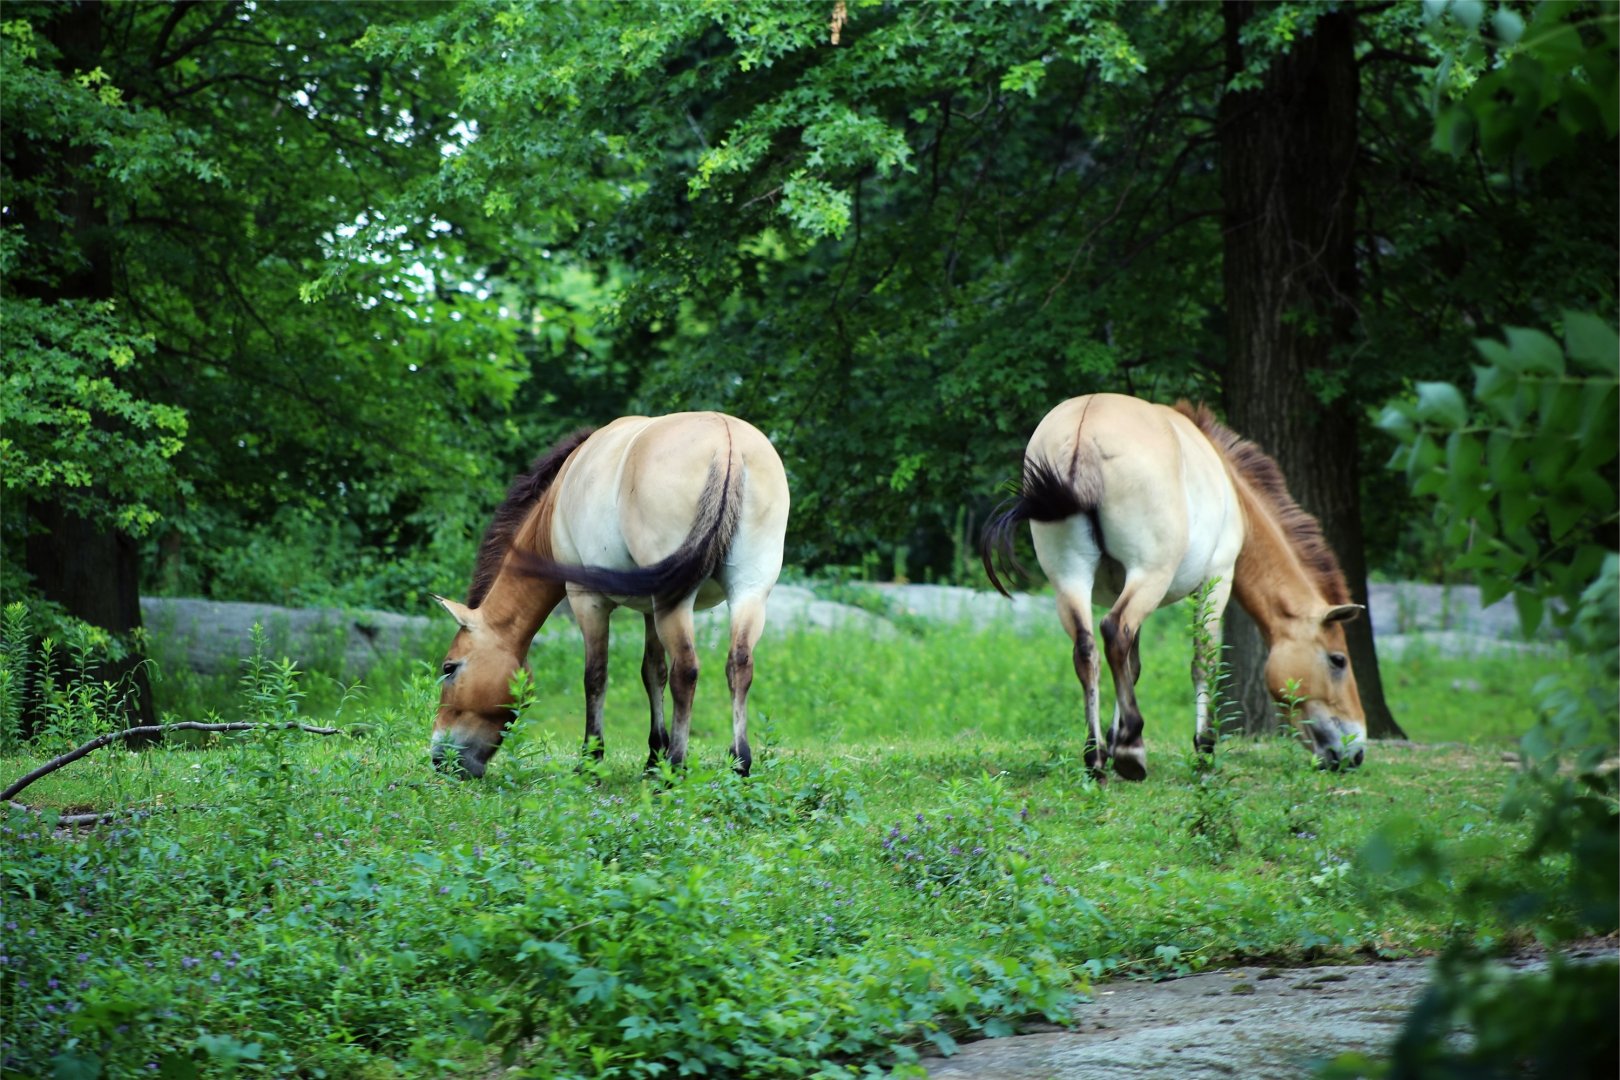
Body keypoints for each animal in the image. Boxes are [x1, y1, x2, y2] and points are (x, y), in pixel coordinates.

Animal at [429, 411, 790, 779]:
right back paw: (739, 762)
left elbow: (595, 676)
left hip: (677, 601)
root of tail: (727, 443)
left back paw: (675, 766)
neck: (557, 501)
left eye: (450, 667)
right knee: (739, 665)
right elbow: (653, 672)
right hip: (747, 592)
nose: (440, 758)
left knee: (686, 670)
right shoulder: (650, 609)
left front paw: (591, 759)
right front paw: (653, 756)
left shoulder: (587, 600)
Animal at [981, 393, 1366, 780]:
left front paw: (1115, 739)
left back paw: (1097, 758)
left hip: (1071, 579)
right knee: (1115, 632)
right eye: (1338, 660)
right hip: (1149, 575)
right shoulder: (1216, 579)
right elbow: (1203, 661)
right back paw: (1132, 749)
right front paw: (1203, 751)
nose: (1356, 752)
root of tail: (1082, 432)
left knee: (1088, 649)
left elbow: (1132, 666)